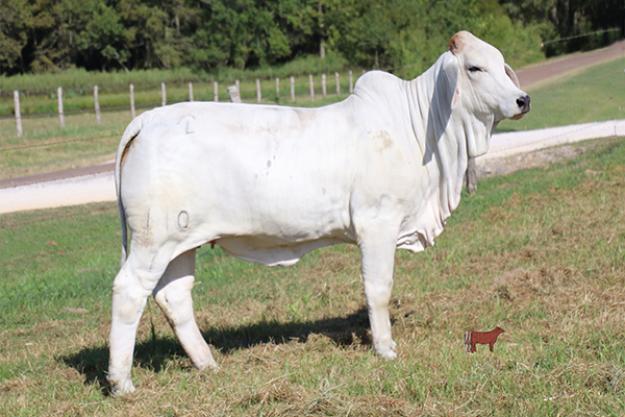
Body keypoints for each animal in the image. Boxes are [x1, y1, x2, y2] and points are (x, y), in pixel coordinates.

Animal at [107, 31, 530, 395]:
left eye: (502, 64)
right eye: (474, 68)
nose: (522, 99)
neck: (418, 128)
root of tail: (147, 120)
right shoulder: (377, 222)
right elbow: (378, 289)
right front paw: (386, 349)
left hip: (182, 243)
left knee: (174, 296)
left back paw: (208, 363)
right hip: (153, 239)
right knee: (129, 291)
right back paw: (121, 382)